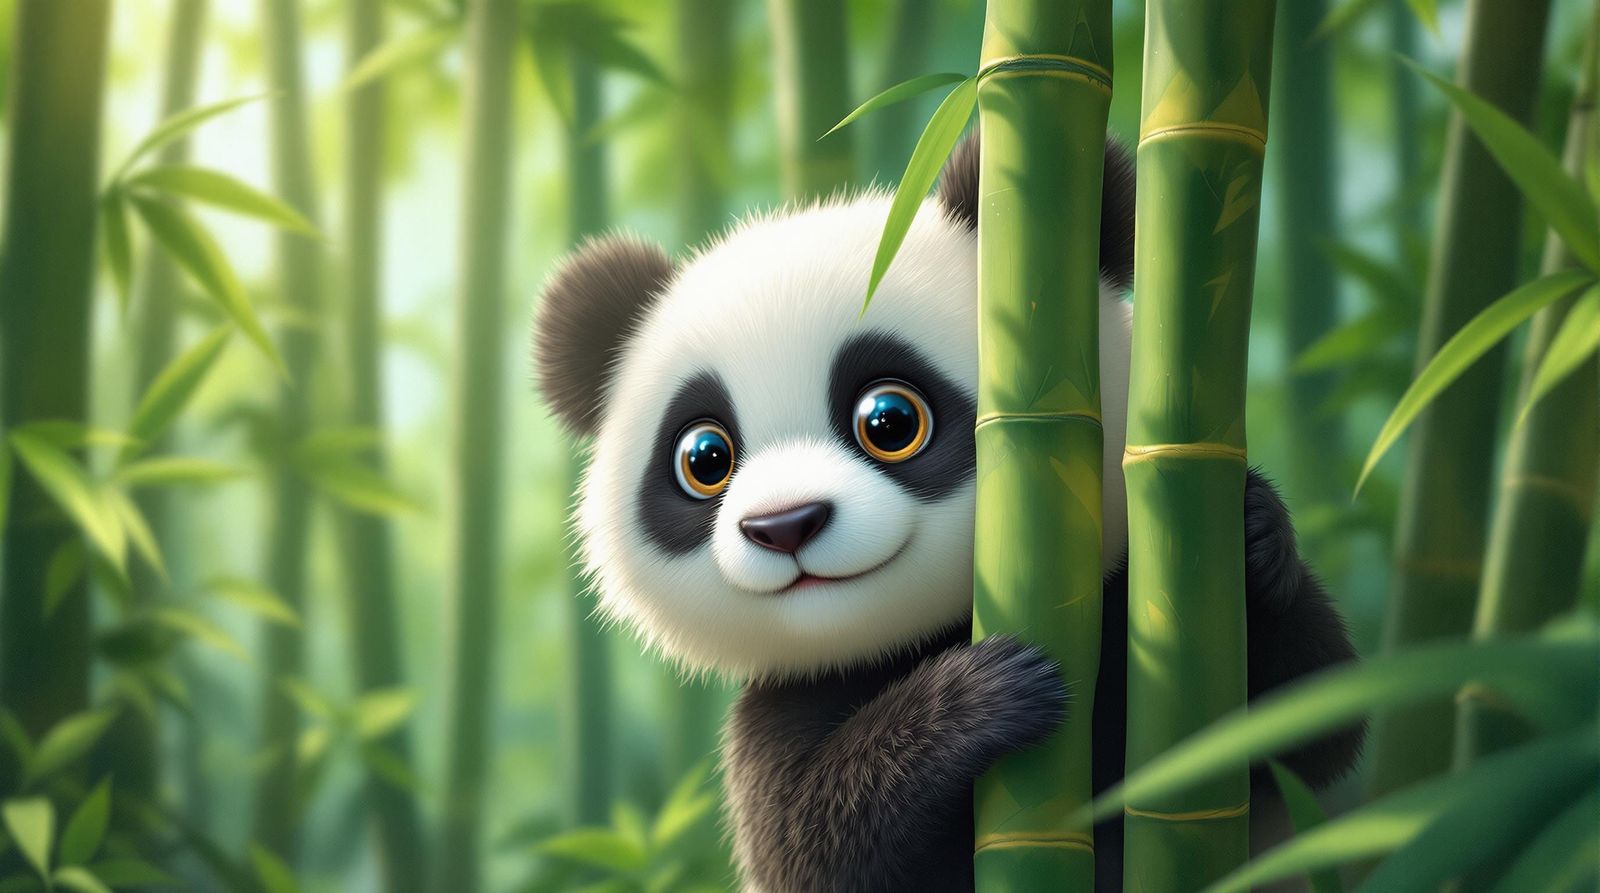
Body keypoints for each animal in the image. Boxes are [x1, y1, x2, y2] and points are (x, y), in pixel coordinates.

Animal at [532, 132, 1362, 893]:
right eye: (704, 458)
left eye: (890, 420)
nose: (785, 524)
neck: (904, 641)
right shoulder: (775, 717)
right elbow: (814, 847)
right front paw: (982, 695)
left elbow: (1307, 719)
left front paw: (1253, 530)